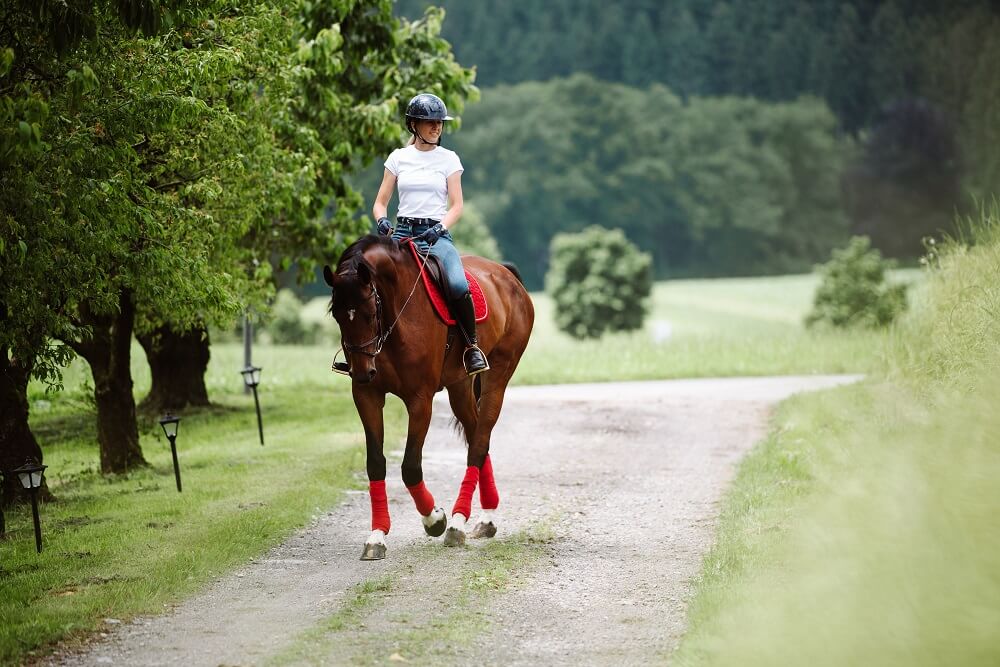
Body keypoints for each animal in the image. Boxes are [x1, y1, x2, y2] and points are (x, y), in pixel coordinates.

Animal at [324, 235, 536, 560]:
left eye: (371, 312)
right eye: (337, 315)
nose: (362, 372)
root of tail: (507, 275)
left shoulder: (420, 400)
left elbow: (410, 467)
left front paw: (435, 519)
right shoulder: (367, 396)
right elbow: (375, 463)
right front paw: (377, 536)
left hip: (498, 376)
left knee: (479, 442)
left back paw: (458, 523)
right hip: (460, 387)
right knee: (477, 435)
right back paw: (485, 518)